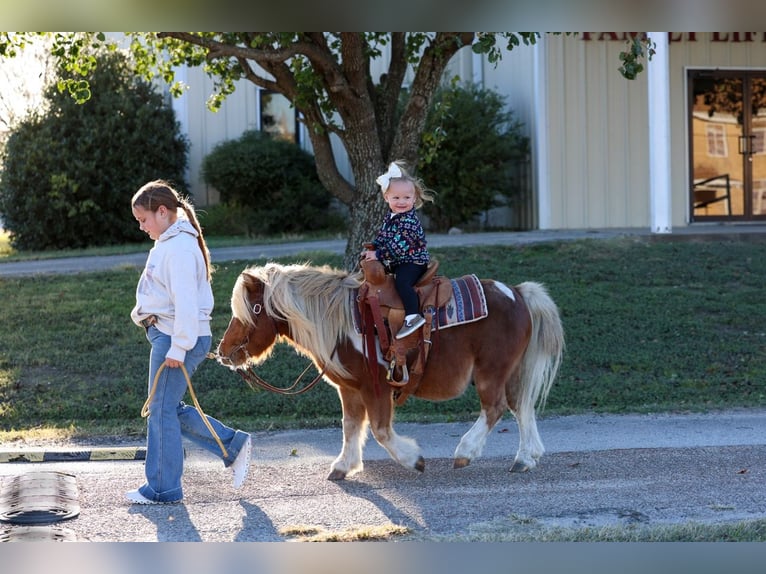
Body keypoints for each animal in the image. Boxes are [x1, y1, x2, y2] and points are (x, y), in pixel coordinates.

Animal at [214, 261, 564, 481]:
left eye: (252, 310)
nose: (223, 352)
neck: (340, 323)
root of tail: (517, 292)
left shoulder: (376, 387)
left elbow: (381, 431)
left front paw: (413, 459)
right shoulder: (350, 389)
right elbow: (350, 425)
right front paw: (343, 465)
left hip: (491, 371)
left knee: (495, 408)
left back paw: (466, 452)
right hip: (512, 370)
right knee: (521, 406)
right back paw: (525, 458)